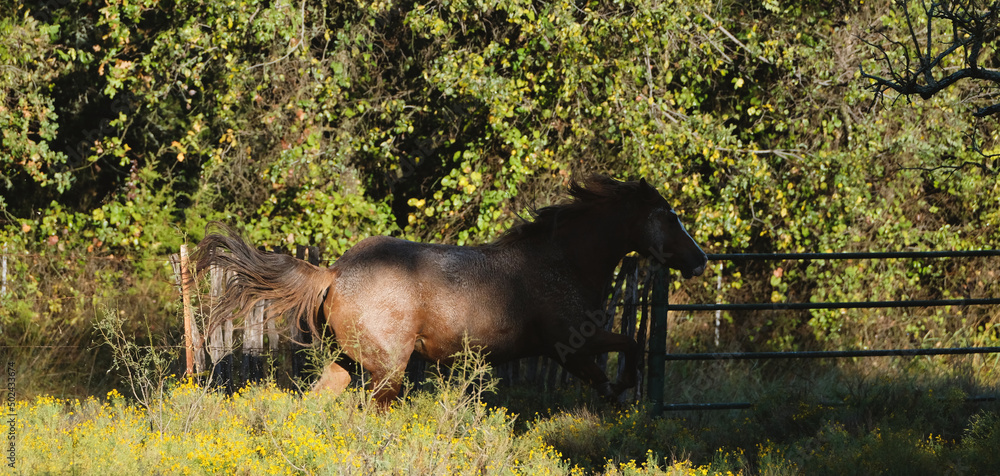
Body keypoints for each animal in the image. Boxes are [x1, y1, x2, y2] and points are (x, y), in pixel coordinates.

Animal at [195, 177, 708, 404]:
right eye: (668, 216)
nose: (700, 259)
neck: (564, 260)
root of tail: (334, 274)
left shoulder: (570, 353)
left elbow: (614, 361)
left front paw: (613, 391)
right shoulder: (571, 345)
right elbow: (631, 344)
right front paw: (621, 386)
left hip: (350, 362)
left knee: (317, 405)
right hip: (388, 371)